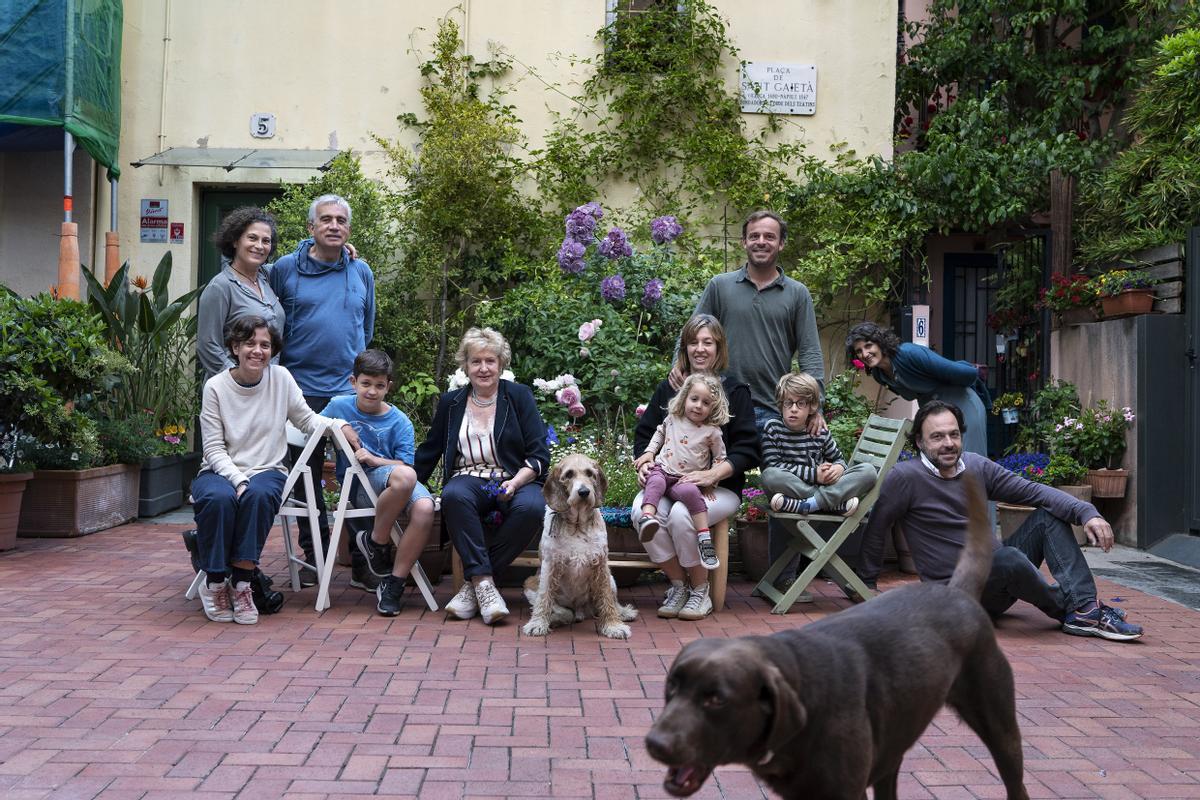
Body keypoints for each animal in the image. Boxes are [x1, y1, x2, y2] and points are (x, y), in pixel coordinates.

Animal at [523, 453, 638, 642]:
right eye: (569, 474)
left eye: (590, 473)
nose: (584, 492)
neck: (577, 525)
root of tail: (581, 611)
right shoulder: (550, 565)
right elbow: (544, 597)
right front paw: (538, 624)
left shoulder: (600, 563)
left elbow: (606, 598)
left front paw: (613, 625)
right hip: (530, 583)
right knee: (565, 613)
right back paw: (556, 619)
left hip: (611, 579)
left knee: (612, 602)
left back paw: (624, 612)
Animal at [643, 479, 1027, 800]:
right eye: (671, 687)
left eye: (716, 700)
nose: (654, 743)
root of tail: (957, 591)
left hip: (1000, 726)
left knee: (1016, 783)